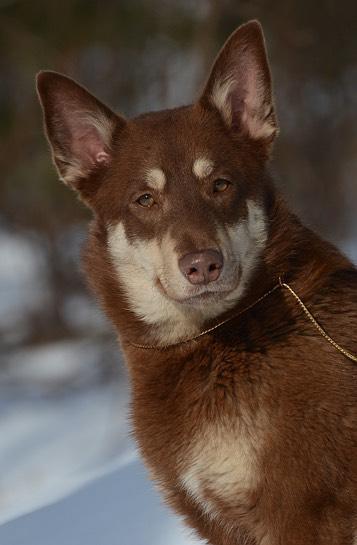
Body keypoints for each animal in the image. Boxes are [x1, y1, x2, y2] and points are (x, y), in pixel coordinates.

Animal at [36, 20, 356, 544]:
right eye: (145, 199)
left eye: (220, 185)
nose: (203, 265)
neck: (209, 338)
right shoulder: (221, 522)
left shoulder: (304, 512)